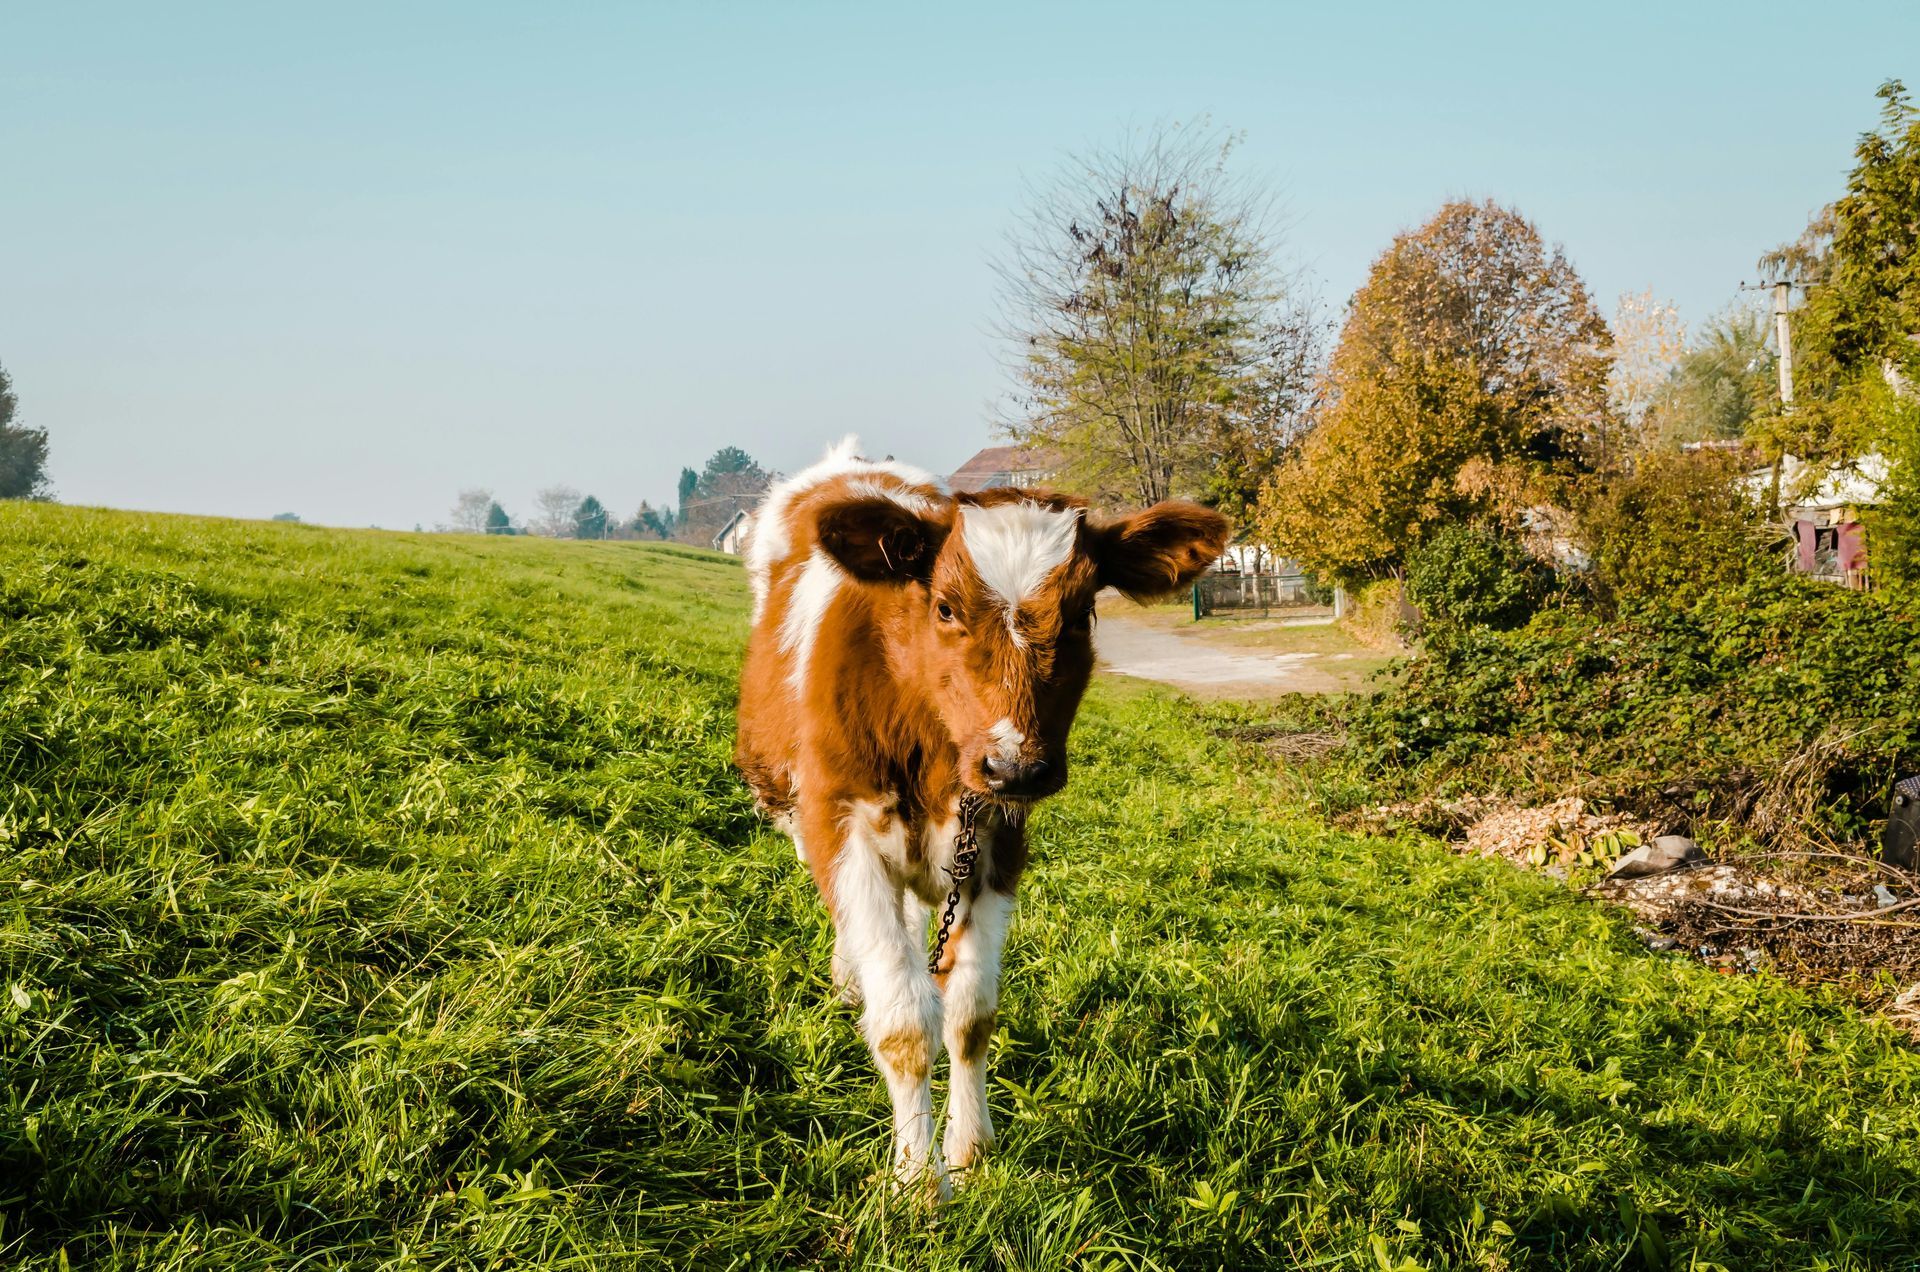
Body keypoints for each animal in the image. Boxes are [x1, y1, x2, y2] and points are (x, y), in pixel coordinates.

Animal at [733, 437, 1229, 1197]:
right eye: (943, 607)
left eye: (1082, 612)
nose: (1015, 767)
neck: (933, 751)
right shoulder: (840, 826)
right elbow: (905, 1021)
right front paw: (916, 1181)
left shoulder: (996, 844)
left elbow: (970, 1014)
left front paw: (969, 1154)